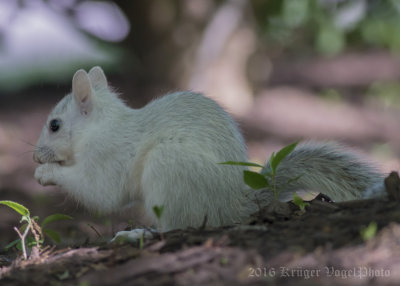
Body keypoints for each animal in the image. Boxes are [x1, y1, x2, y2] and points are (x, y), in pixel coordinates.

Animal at [33, 66, 384, 239]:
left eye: (54, 125)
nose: (35, 155)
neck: (99, 129)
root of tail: (234, 206)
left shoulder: (109, 156)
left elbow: (99, 192)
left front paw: (45, 173)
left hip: (169, 168)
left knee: (175, 228)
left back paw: (137, 235)